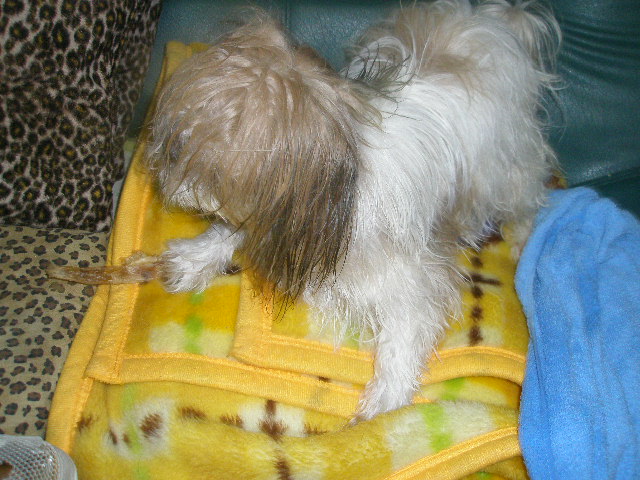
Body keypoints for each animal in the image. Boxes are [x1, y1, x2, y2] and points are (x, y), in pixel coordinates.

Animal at [147, 0, 560, 420]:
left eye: (203, 162)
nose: (163, 172)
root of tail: (494, 24)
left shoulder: (410, 278)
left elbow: (404, 335)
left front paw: (386, 400)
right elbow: (230, 231)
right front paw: (193, 260)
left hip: (507, 166)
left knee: (527, 197)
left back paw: (520, 236)